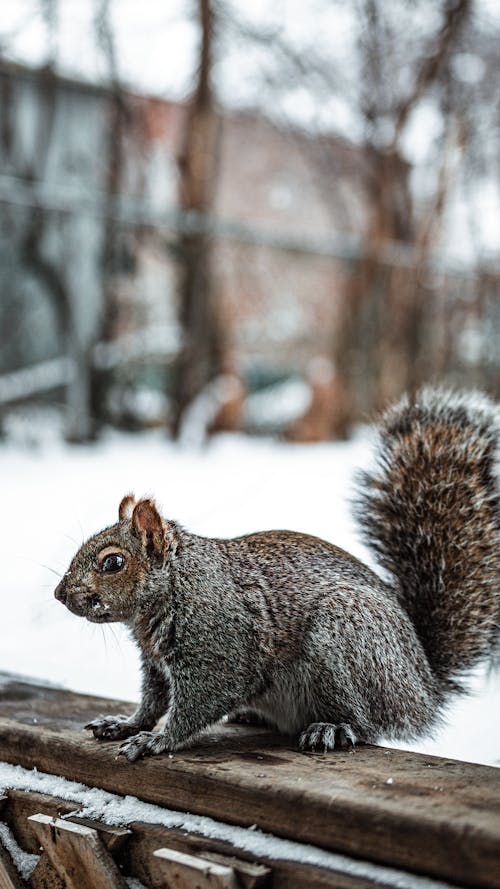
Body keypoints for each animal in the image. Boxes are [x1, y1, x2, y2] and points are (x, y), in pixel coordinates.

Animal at [52, 386, 498, 760]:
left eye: (113, 562)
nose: (60, 594)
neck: (178, 586)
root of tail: (423, 686)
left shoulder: (220, 651)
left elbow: (198, 704)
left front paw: (157, 740)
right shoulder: (157, 663)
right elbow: (153, 701)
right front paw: (125, 724)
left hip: (345, 641)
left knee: (368, 721)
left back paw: (333, 728)